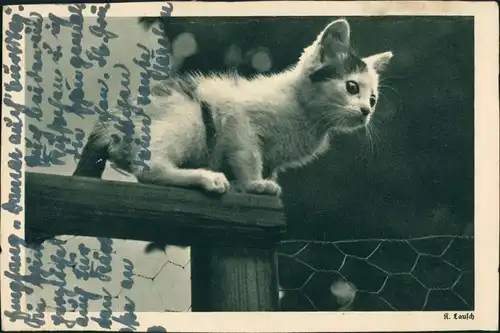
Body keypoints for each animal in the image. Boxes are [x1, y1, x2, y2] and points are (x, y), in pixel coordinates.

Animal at [75, 18, 394, 197]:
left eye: (373, 99)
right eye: (351, 87)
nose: (366, 112)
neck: (309, 117)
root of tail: (110, 123)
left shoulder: (272, 157)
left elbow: (261, 165)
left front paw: (253, 183)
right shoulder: (239, 120)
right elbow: (248, 156)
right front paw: (255, 184)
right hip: (189, 119)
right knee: (148, 168)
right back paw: (205, 177)